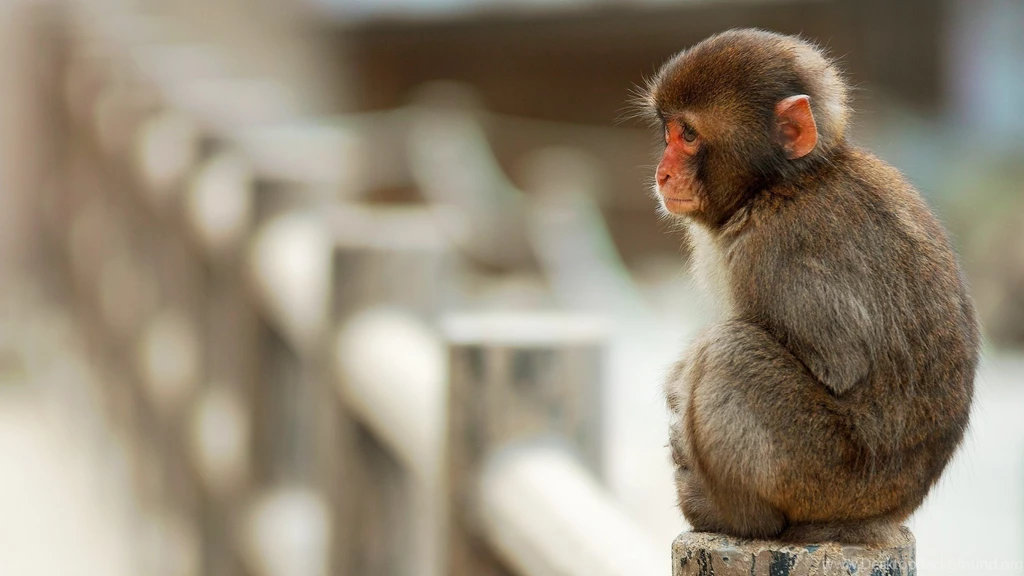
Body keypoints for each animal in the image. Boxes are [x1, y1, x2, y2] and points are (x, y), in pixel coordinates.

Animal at [637, 29, 980, 545]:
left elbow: (838, 365)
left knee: (731, 350)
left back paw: (737, 517)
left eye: (690, 135)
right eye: (669, 133)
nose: (663, 172)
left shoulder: (778, 251)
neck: (780, 186)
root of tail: (888, 511)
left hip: (824, 476)